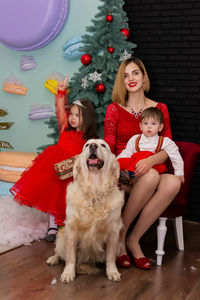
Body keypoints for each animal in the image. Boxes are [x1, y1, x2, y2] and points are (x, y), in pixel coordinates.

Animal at [47, 139, 125, 282]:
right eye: (87, 145)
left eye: (103, 145)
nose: (93, 146)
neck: (95, 189)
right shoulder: (71, 229)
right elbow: (70, 256)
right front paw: (68, 273)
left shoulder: (113, 231)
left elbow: (110, 257)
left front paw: (112, 272)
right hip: (61, 236)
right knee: (59, 252)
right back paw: (53, 259)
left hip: (119, 245)